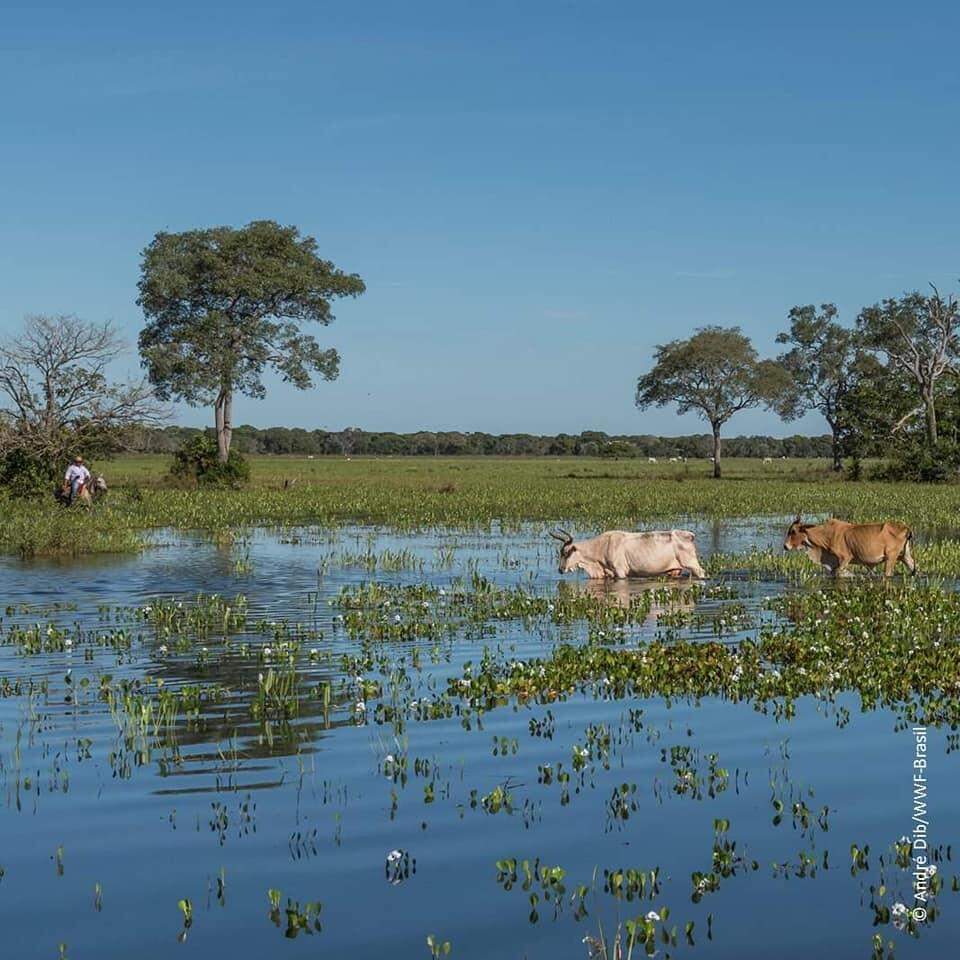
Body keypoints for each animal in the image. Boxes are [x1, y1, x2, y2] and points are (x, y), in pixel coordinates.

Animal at [548, 528, 704, 580]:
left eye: (566, 552)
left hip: (692, 565)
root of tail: (688, 535)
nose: (560, 569)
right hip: (675, 570)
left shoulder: (620, 571)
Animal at [780, 516, 916, 576]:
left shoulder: (844, 558)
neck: (826, 535)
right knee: (913, 567)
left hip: (891, 558)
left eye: (793, 531)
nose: (785, 546)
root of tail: (906, 527)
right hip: (904, 556)